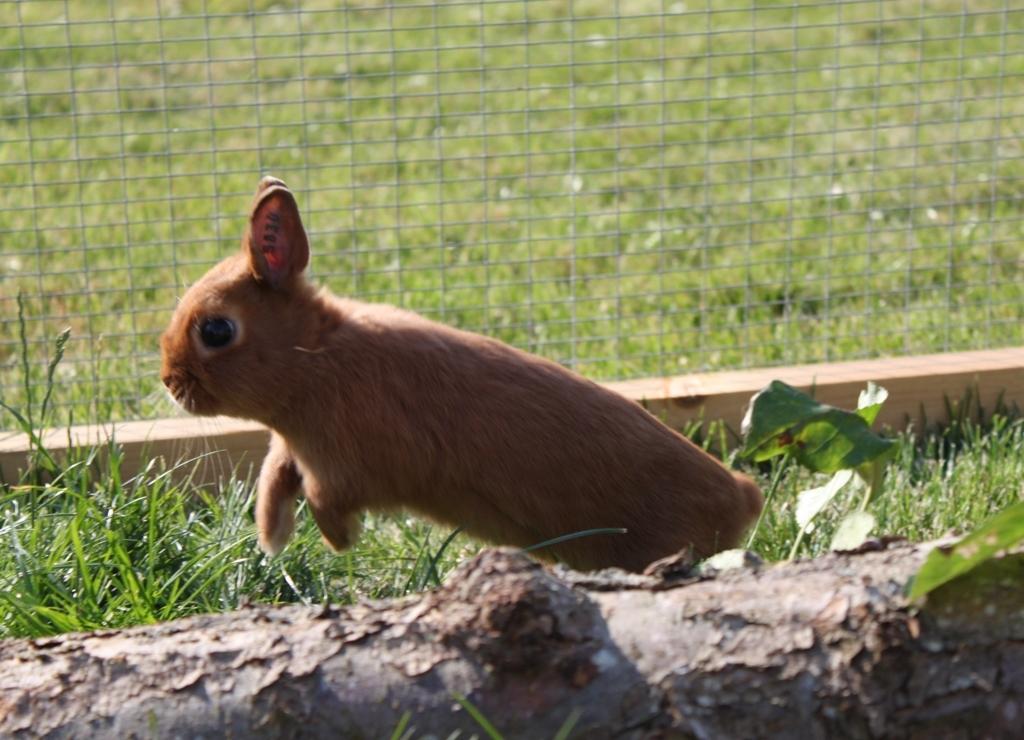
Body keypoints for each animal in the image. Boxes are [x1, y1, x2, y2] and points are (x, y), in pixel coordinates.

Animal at [161, 178, 761, 573]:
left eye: (216, 330)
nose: (170, 380)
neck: (313, 357)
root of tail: (740, 499)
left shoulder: (346, 465)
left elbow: (324, 497)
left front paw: (339, 541)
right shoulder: (293, 447)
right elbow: (276, 478)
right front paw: (273, 536)